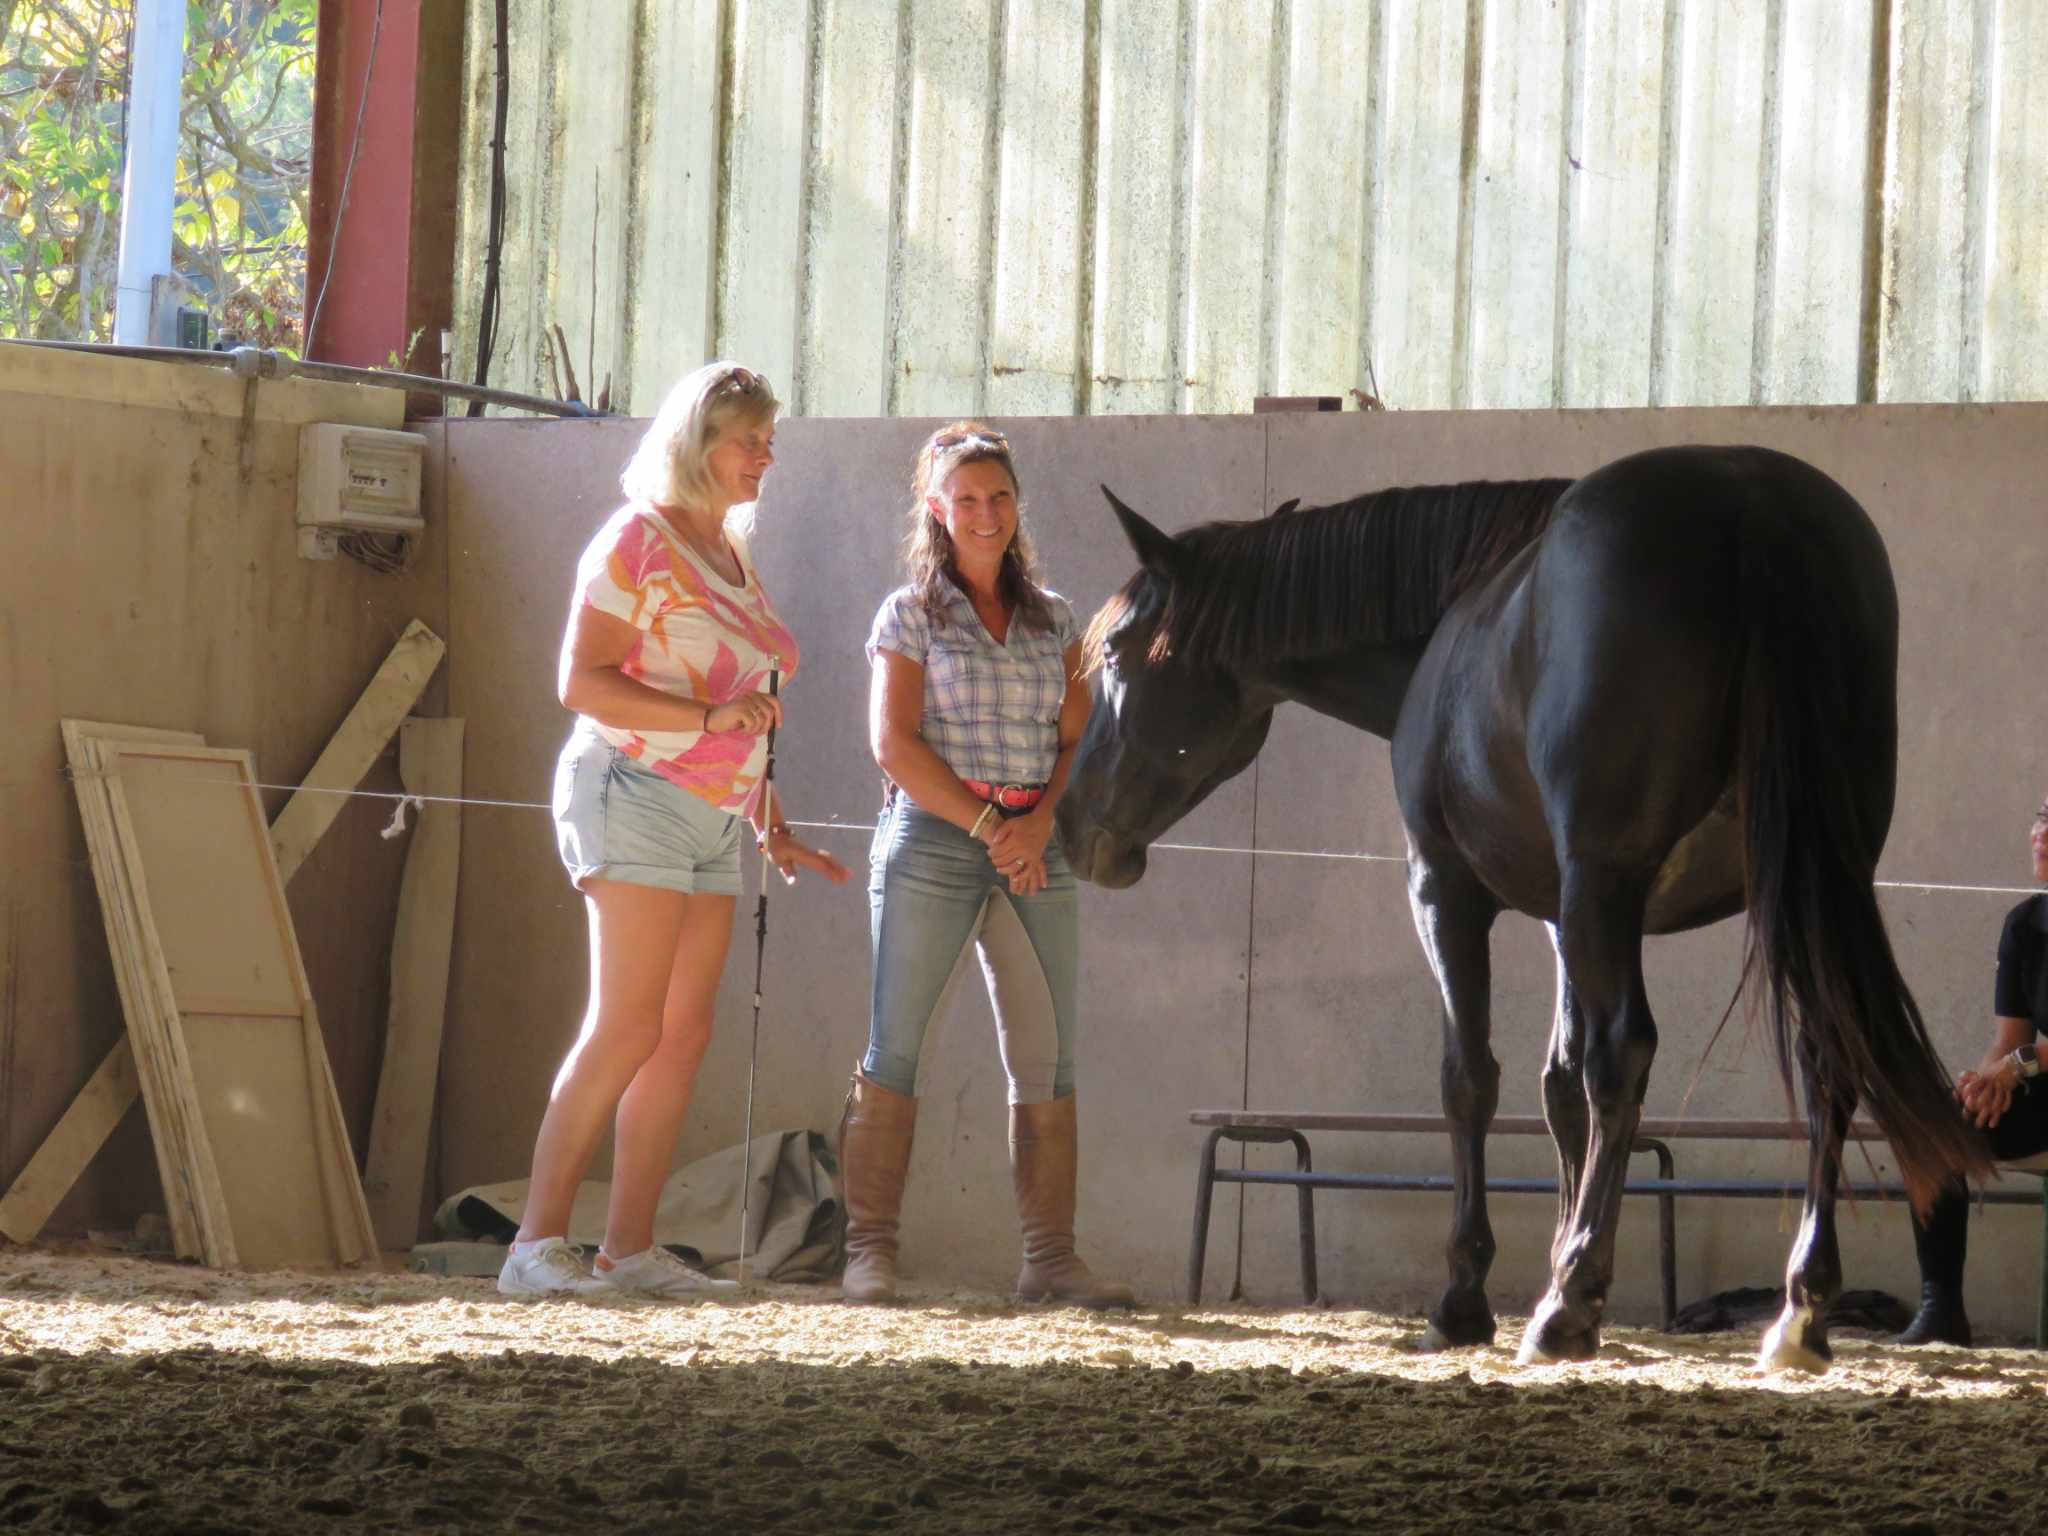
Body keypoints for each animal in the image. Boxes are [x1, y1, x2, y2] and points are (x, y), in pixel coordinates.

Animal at [1064, 444, 1990, 1368]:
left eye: (1115, 653)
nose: (1073, 826)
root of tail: (1749, 500)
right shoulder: (1563, 918)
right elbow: (1559, 1085)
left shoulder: (1448, 892)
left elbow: (1473, 1079)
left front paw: (1470, 1297)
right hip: (1799, 888)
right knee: (1825, 1056)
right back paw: (1797, 1309)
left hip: (1614, 886)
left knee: (1626, 1054)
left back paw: (1570, 1307)